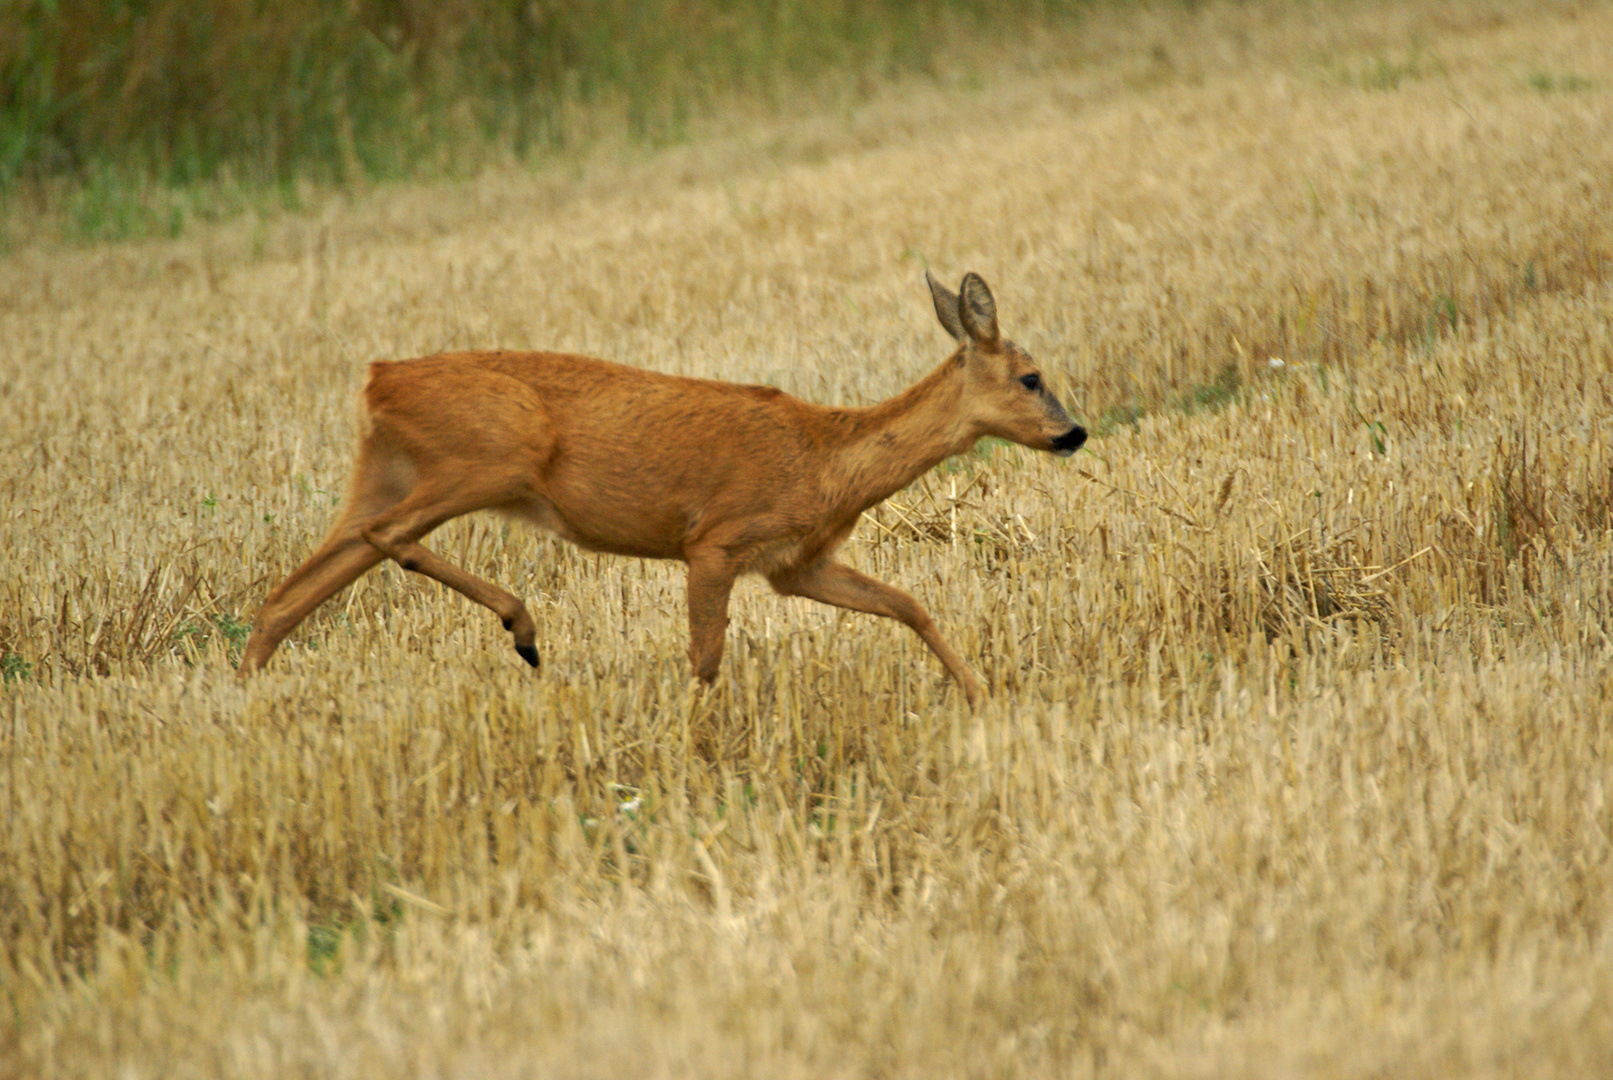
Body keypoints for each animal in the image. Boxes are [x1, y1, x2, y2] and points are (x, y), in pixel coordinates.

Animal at [238, 275, 1090, 706]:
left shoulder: (795, 564)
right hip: (493, 454)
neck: (825, 461)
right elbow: (705, 659)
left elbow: (910, 604)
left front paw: (982, 693)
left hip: (383, 471)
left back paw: (246, 694)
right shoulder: (715, 540)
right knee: (386, 540)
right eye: (1030, 377)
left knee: (291, 589)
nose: (1073, 433)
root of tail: (377, 380)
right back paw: (523, 629)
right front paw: (693, 742)